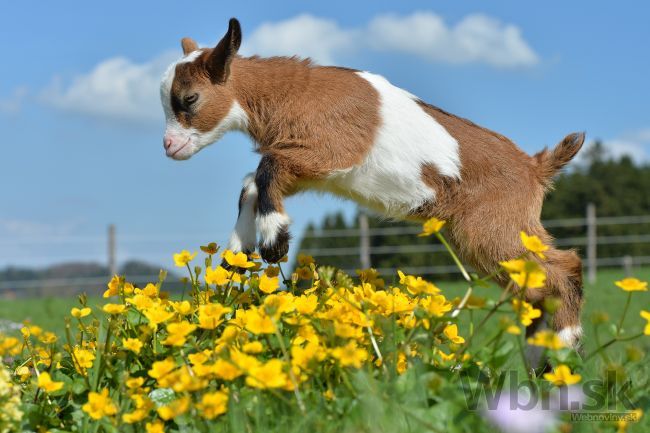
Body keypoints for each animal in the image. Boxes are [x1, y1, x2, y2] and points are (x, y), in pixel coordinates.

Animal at [161, 19, 584, 348]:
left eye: (190, 99)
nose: (168, 146)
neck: (294, 94)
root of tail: (535, 167)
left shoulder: (330, 151)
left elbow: (266, 167)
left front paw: (273, 242)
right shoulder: (312, 170)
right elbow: (253, 181)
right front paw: (236, 254)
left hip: (494, 229)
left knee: (562, 266)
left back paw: (564, 345)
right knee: (534, 288)